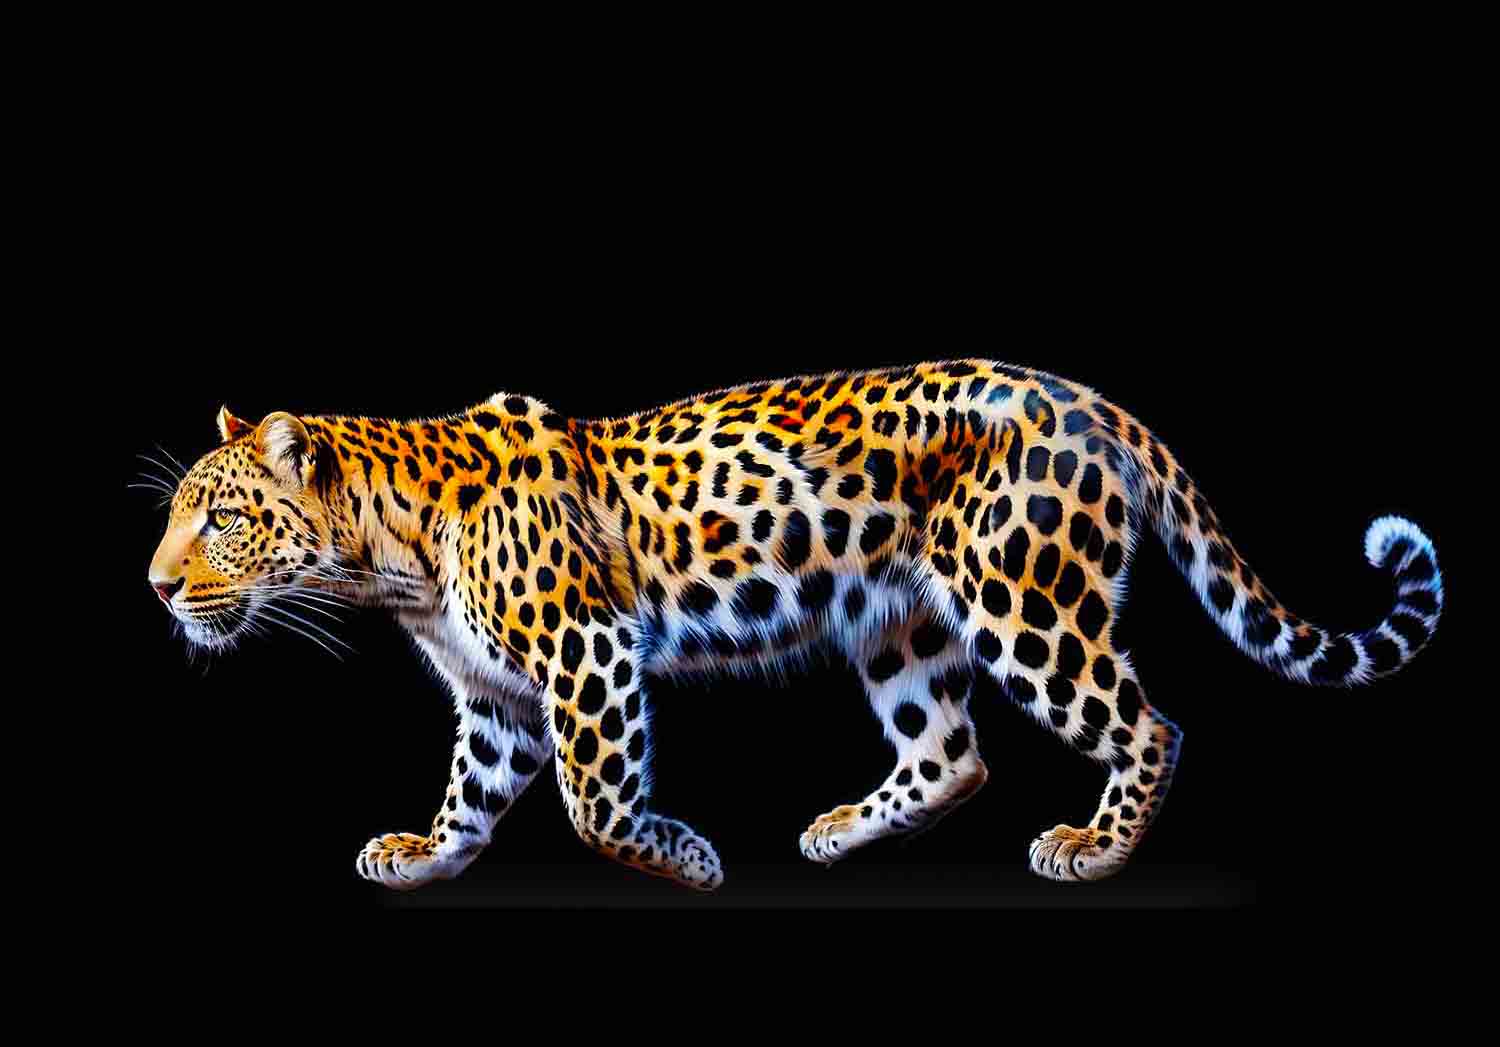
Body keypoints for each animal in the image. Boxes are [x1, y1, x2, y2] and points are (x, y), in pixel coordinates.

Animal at [145, 360, 1444, 891]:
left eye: (220, 517)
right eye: (176, 513)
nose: (155, 587)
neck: (388, 558)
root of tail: (1088, 399)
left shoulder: (587, 654)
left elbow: (594, 802)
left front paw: (686, 860)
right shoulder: (500, 693)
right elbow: (477, 786)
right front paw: (426, 855)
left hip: (1026, 602)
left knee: (1149, 724)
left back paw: (1094, 848)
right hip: (904, 626)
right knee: (951, 753)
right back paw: (841, 832)